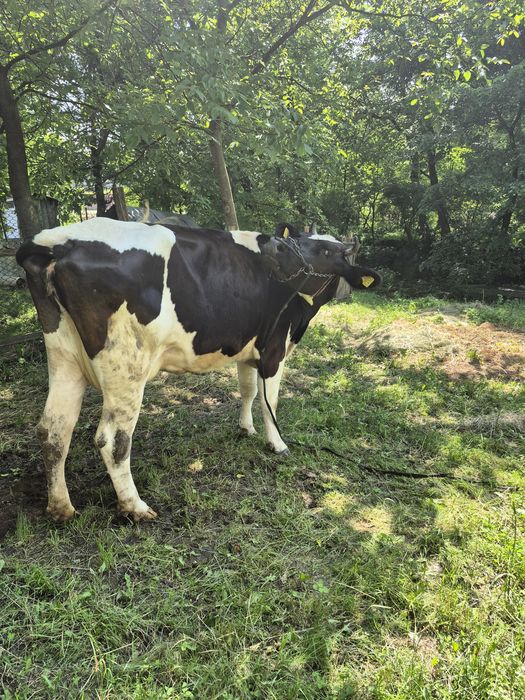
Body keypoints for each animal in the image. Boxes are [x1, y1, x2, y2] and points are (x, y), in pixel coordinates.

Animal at [16, 218, 380, 522]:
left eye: (325, 249)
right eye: (312, 245)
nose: (275, 245)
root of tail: (56, 243)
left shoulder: (248, 348)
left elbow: (247, 390)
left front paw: (245, 428)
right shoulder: (275, 349)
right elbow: (270, 402)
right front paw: (277, 444)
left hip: (64, 357)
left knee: (53, 429)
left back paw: (61, 507)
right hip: (126, 367)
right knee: (113, 440)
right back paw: (135, 507)